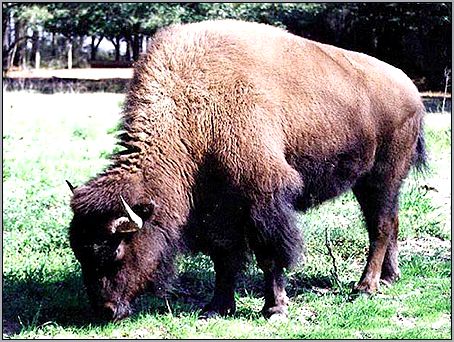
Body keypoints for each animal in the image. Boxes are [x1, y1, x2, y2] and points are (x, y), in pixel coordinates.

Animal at [67, 20, 426, 322]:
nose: (105, 311)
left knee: (380, 227)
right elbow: (224, 257)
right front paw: (216, 307)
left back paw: (365, 287)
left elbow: (268, 255)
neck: (193, 109)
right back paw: (390, 277)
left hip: (381, 177)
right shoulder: (218, 210)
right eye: (80, 252)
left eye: (116, 250)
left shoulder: (263, 199)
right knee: (390, 222)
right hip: (372, 183)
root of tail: (409, 87)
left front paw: (274, 309)